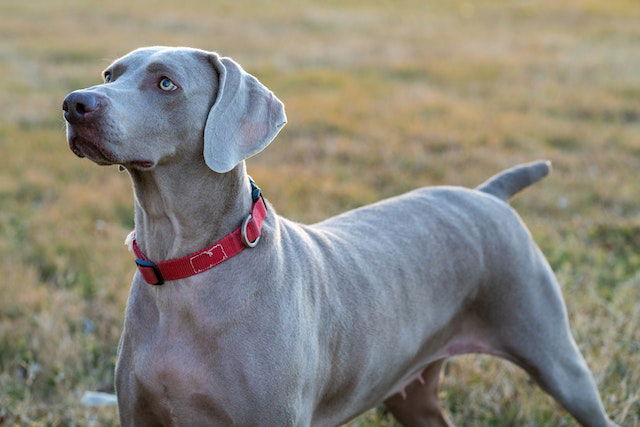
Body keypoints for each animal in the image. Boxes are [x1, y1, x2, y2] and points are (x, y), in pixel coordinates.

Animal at [61, 47, 616, 427]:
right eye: (111, 74)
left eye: (166, 83)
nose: (74, 103)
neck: (188, 262)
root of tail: (490, 194)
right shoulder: (139, 411)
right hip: (412, 390)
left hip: (552, 351)